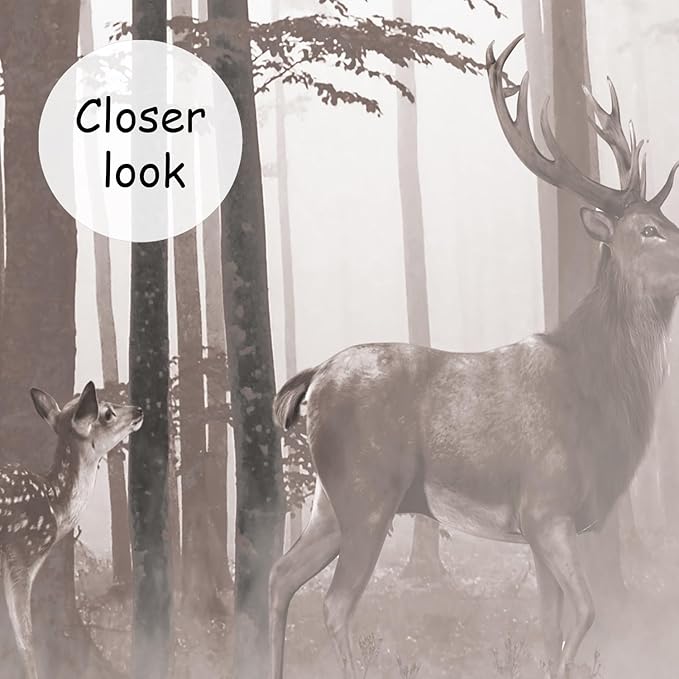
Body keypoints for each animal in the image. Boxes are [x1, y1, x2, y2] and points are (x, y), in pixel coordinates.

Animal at [268, 34, 679, 679]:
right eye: (647, 230)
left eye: (665, 218)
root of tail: (312, 382)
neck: (597, 395)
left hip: (327, 504)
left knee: (280, 575)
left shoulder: (537, 530)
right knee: (333, 603)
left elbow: (550, 628)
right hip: (366, 493)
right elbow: (586, 615)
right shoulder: (546, 506)